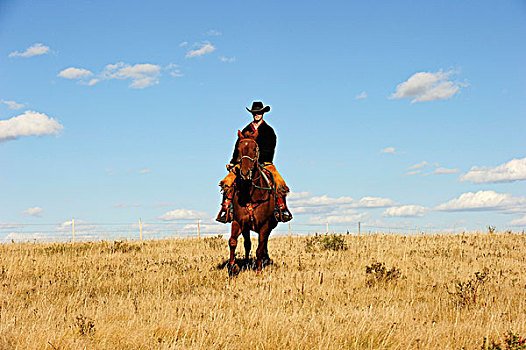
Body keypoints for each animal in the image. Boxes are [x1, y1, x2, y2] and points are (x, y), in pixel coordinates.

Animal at [230, 130, 280, 274]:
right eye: (238, 149)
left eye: (254, 149)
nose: (245, 173)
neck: (251, 194)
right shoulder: (239, 222)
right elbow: (233, 242)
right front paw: (232, 267)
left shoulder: (265, 226)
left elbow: (260, 249)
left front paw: (259, 272)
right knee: (247, 244)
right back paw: (247, 262)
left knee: (264, 245)